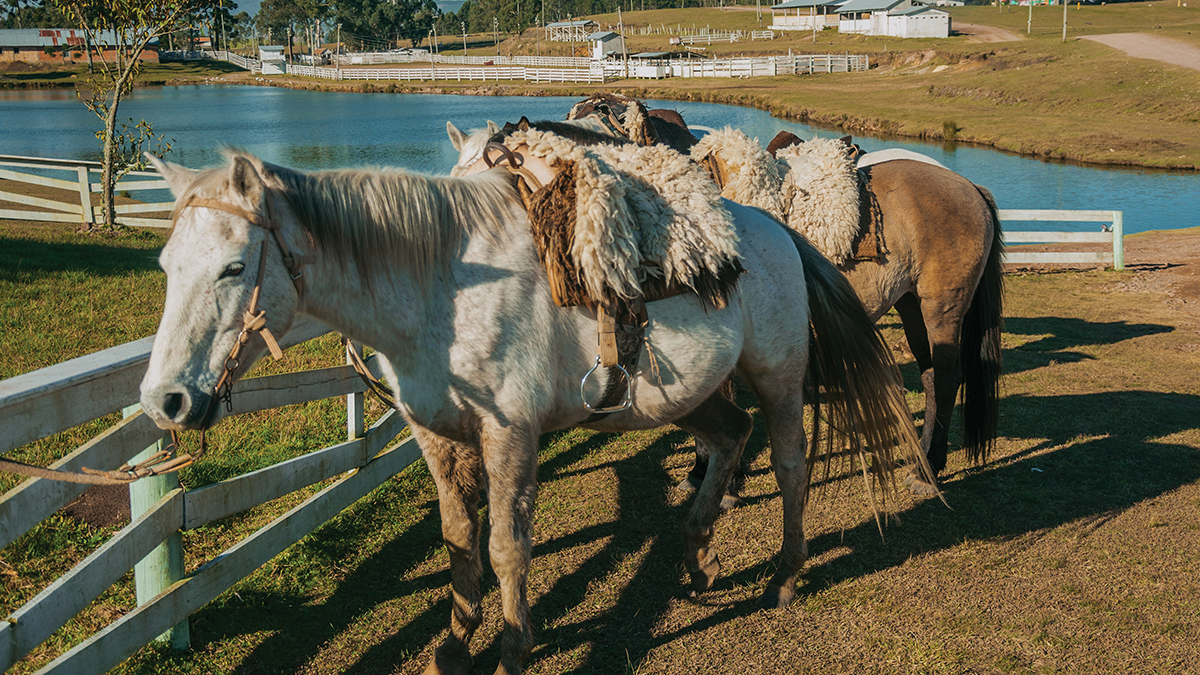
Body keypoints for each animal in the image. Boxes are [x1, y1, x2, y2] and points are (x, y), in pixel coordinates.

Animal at [142, 149, 926, 667]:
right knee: (730, 438)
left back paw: (785, 575)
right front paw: (455, 643)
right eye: (166, 266)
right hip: (689, 395)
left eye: (234, 267)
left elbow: (505, 547)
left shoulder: (509, 436)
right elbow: (458, 541)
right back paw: (697, 557)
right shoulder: (437, 437)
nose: (165, 399)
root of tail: (774, 231)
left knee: (790, 466)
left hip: (779, 378)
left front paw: (514, 646)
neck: (443, 287)